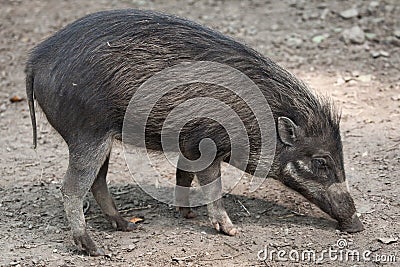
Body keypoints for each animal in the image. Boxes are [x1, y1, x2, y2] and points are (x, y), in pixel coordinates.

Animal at [24, 9, 362, 258]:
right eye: (321, 161)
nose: (357, 225)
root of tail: (34, 61)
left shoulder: (188, 145)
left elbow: (183, 175)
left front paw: (187, 215)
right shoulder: (206, 143)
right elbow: (212, 185)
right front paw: (231, 230)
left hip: (101, 139)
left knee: (98, 182)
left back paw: (128, 227)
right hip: (87, 134)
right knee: (71, 188)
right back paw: (95, 249)